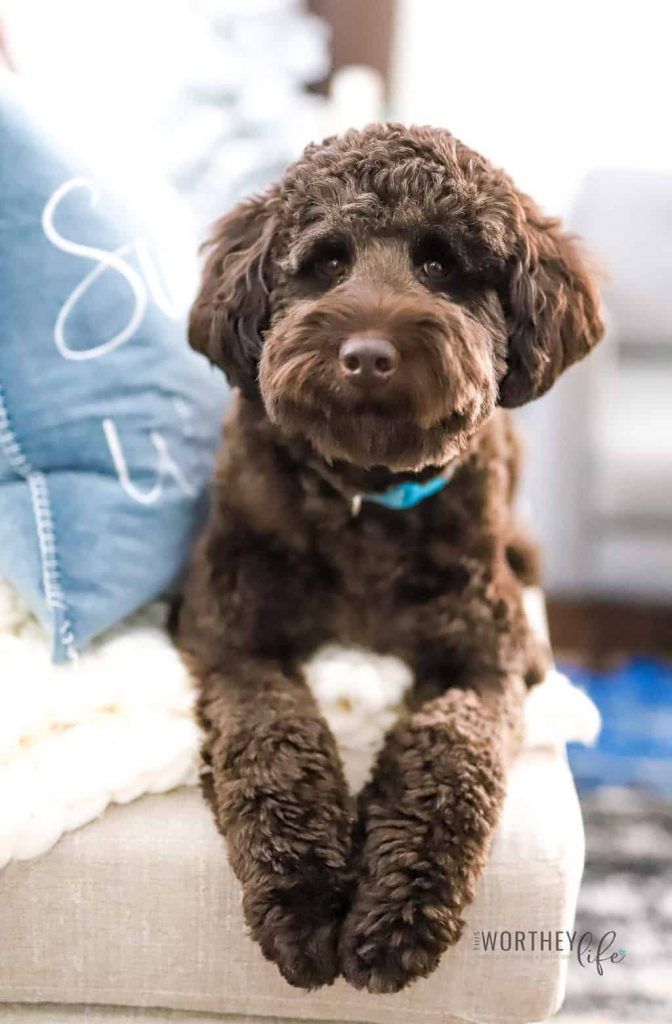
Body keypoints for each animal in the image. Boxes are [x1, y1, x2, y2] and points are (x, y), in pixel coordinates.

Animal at [177, 119, 602, 991]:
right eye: (326, 261)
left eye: (441, 264)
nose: (368, 354)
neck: (364, 498)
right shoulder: (232, 634)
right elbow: (274, 740)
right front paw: (305, 897)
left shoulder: (487, 655)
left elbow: (450, 757)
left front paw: (398, 908)